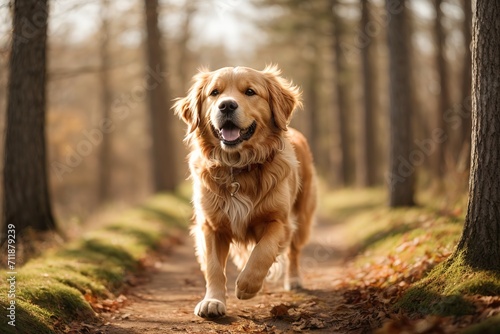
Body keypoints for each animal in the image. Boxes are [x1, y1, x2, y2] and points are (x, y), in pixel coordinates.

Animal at [174, 65, 316, 318]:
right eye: (215, 92)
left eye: (250, 91)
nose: (226, 105)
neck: (237, 167)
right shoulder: (210, 226)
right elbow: (213, 267)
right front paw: (213, 301)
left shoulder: (279, 221)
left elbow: (263, 252)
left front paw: (247, 285)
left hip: (302, 216)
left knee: (294, 251)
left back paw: (294, 279)